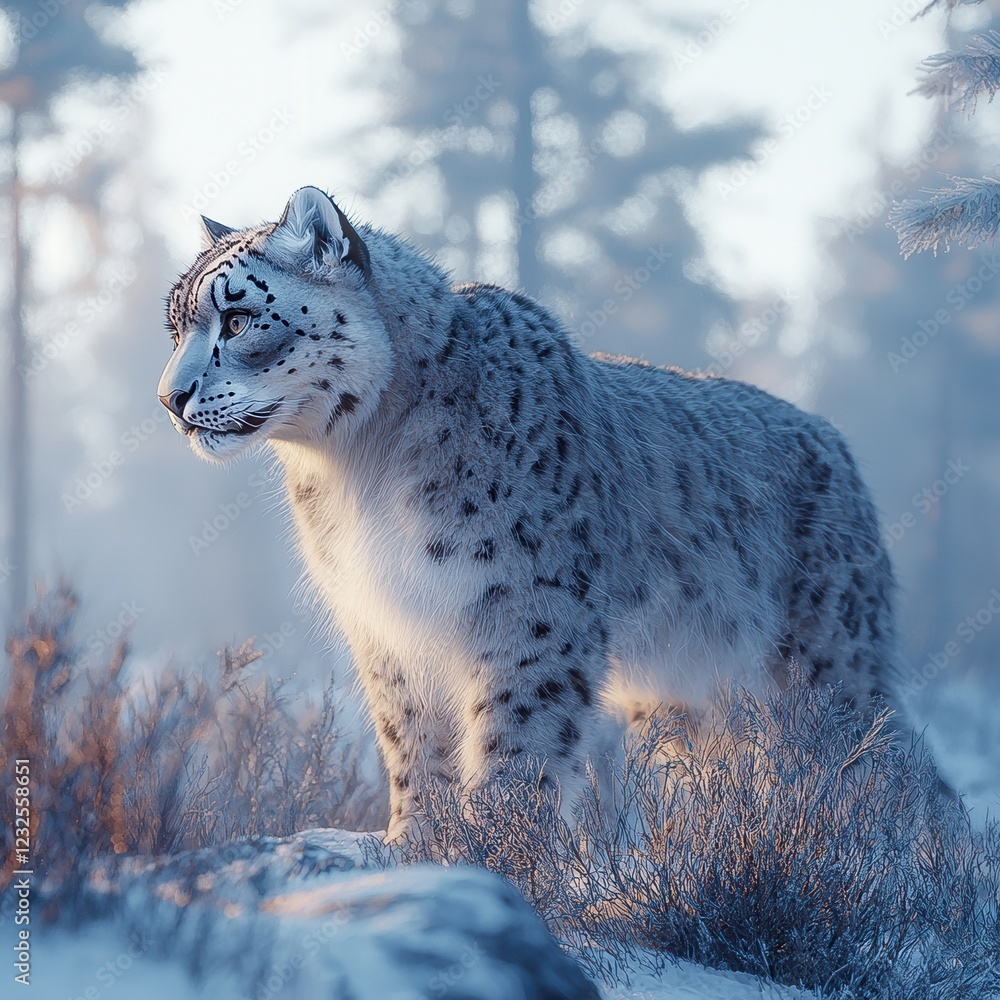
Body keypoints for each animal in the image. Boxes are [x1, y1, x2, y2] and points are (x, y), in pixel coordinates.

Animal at [159, 186, 901, 844]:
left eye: (237, 319)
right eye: (175, 327)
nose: (170, 398)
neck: (360, 467)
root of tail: (843, 451)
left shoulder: (527, 604)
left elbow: (518, 730)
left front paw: (500, 838)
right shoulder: (388, 622)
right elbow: (411, 738)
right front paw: (416, 837)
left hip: (829, 662)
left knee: (872, 761)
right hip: (683, 691)